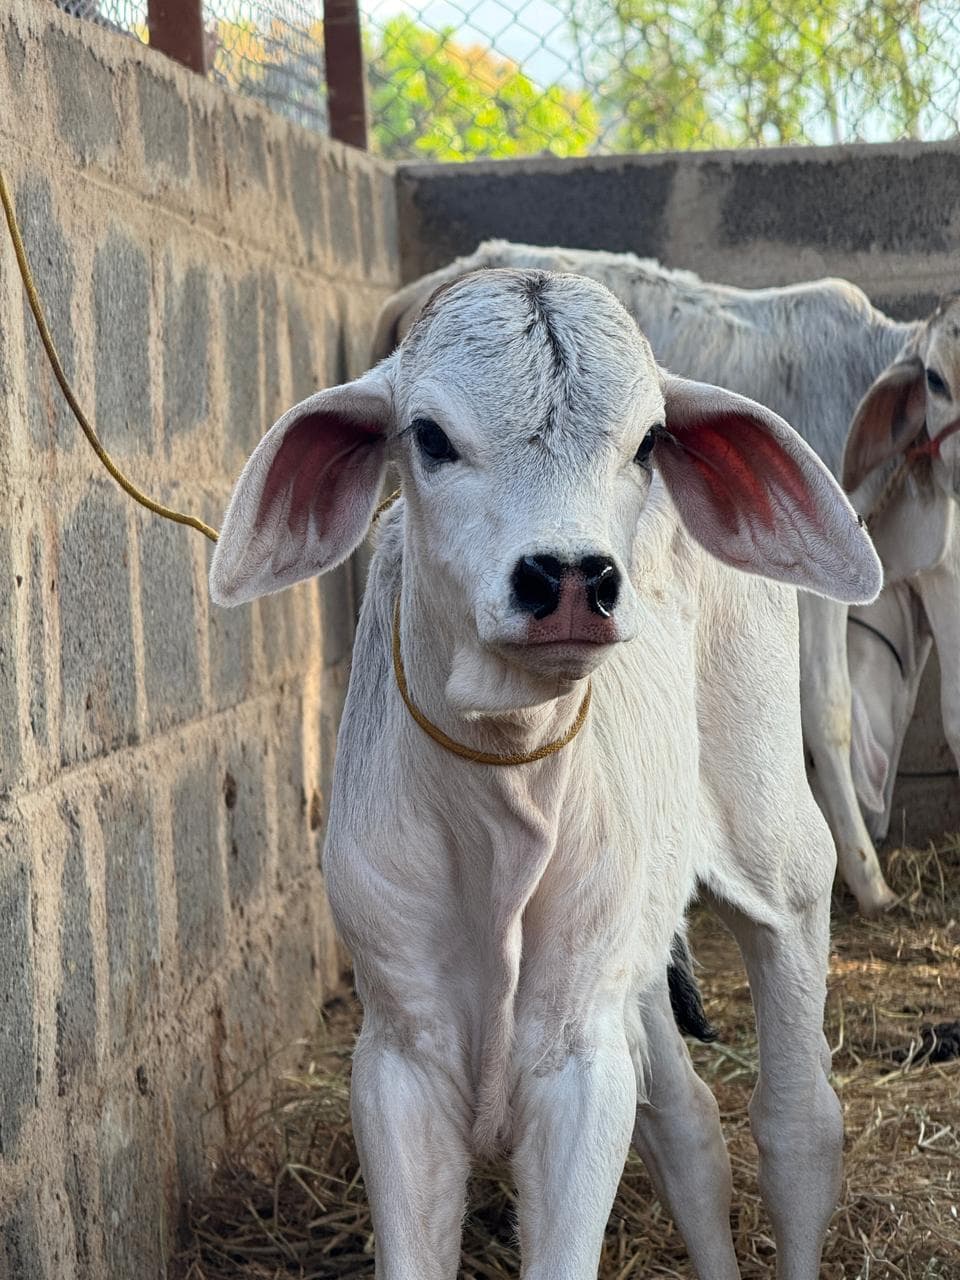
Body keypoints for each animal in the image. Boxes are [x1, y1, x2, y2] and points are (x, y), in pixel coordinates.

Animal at [210, 269, 880, 1278]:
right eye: (431, 437)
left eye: (647, 442)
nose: (571, 579)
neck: (503, 801)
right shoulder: (400, 1053)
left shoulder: (576, 1061)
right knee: (688, 1127)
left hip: (777, 848)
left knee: (799, 1126)